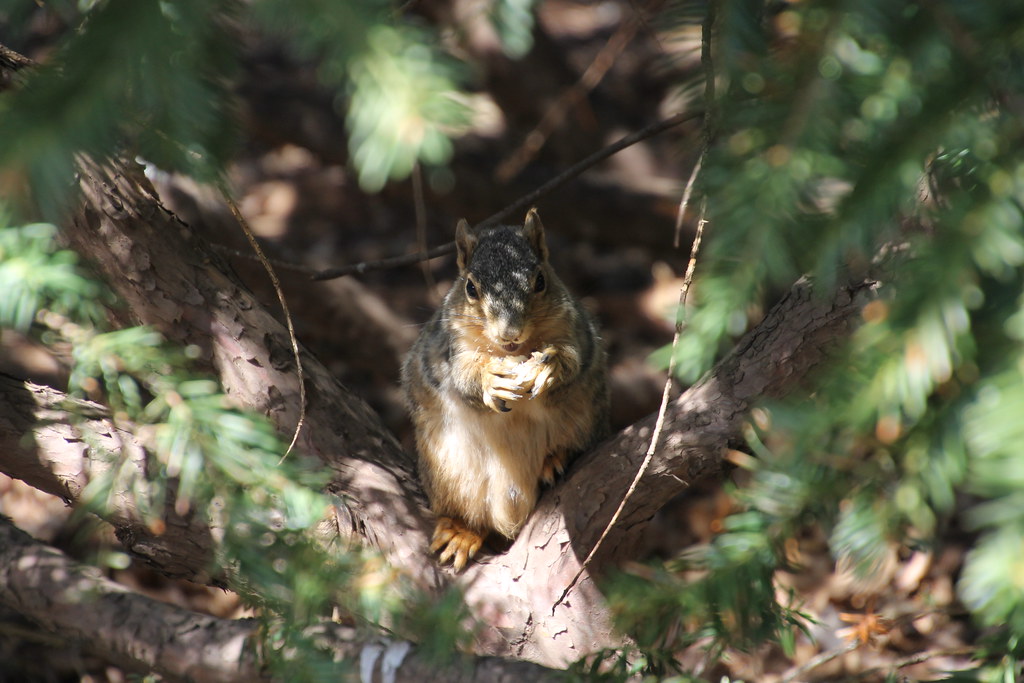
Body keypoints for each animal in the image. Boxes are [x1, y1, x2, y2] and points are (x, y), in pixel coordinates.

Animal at [402, 209, 609, 570]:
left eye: (540, 281)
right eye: (470, 287)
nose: (509, 333)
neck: (514, 351)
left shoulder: (576, 331)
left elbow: (573, 358)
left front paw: (550, 366)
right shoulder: (450, 348)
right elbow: (463, 376)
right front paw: (490, 379)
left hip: (585, 423)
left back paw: (557, 458)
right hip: (449, 474)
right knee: (471, 516)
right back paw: (461, 532)